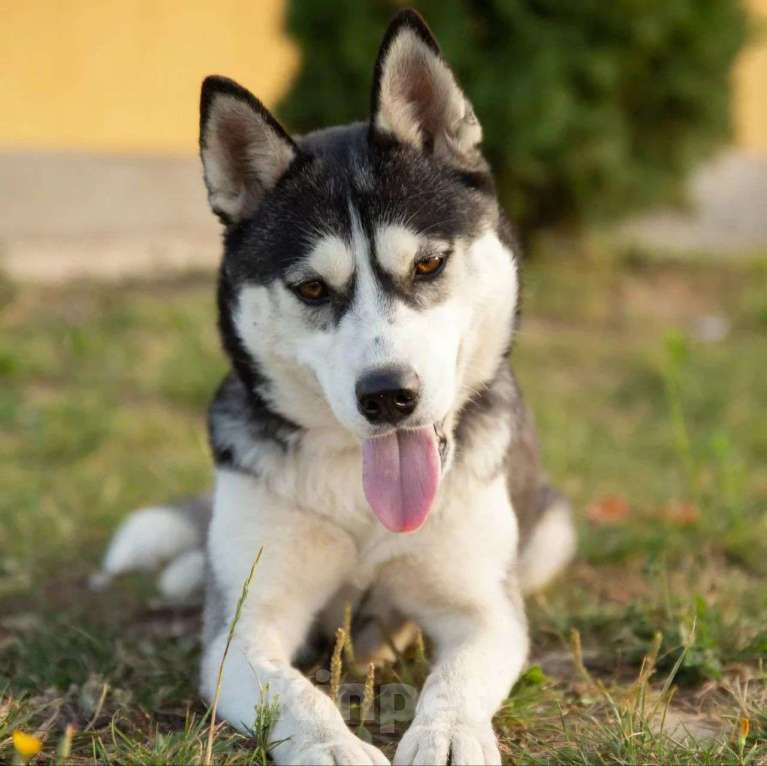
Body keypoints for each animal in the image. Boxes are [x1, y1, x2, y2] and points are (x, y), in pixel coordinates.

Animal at [96, 9, 572, 764]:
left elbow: (456, 680)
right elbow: (295, 695)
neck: (359, 493)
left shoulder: (485, 610)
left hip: (551, 530)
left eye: (428, 264)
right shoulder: (243, 631)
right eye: (313, 288)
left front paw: (446, 734)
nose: (387, 396)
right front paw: (333, 746)